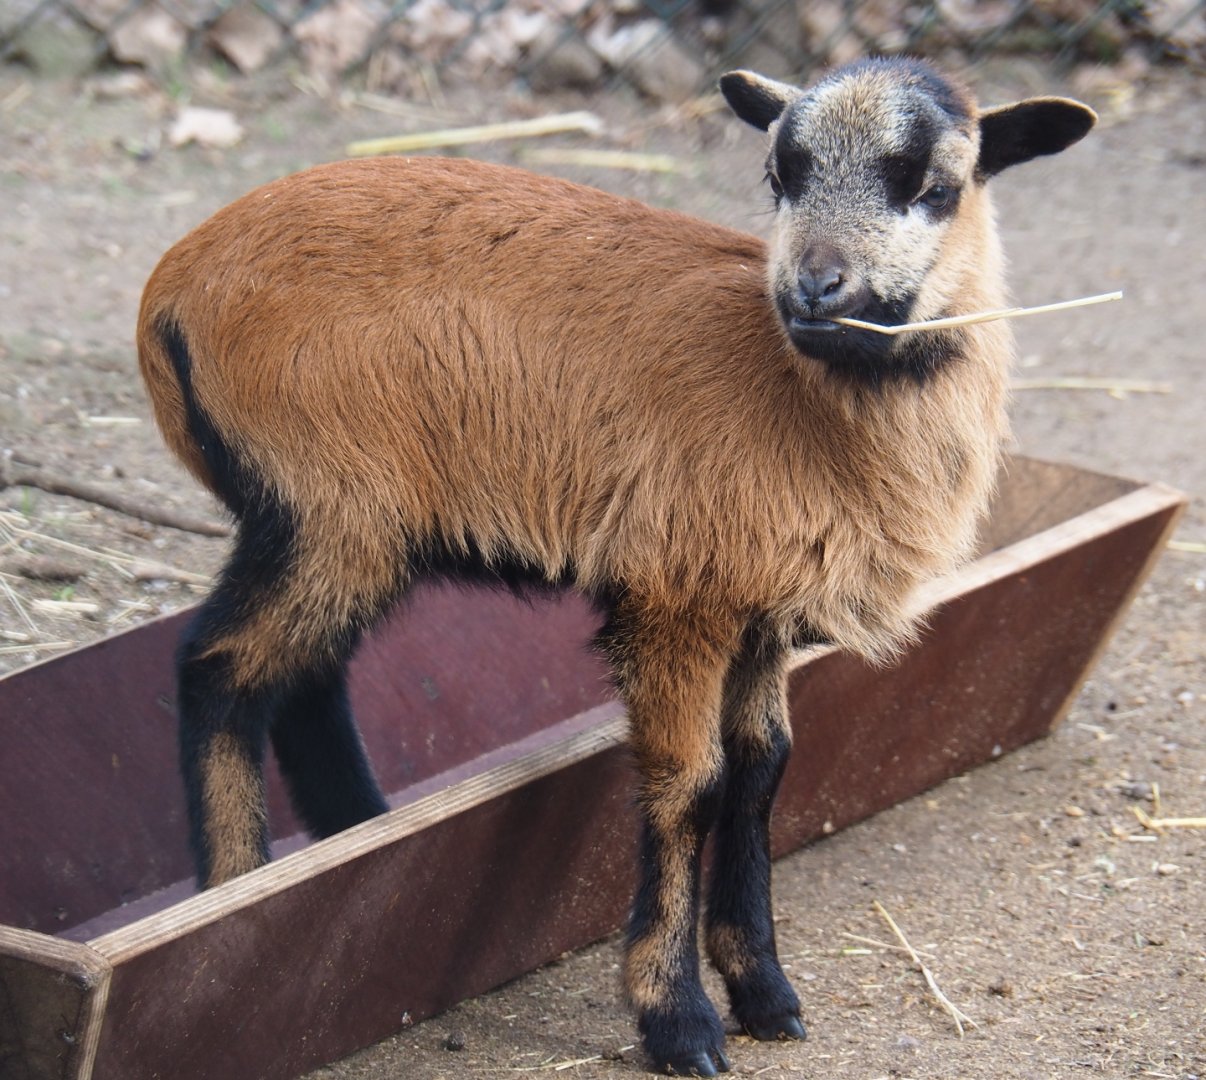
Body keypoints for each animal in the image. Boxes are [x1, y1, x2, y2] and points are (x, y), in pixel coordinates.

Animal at [136, 57, 1095, 1077]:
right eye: (780, 176)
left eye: (932, 187)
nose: (813, 289)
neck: (806, 401)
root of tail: (171, 288)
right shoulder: (676, 596)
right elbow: (692, 784)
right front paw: (677, 1018)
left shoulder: (758, 610)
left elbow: (762, 771)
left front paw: (765, 991)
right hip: (325, 504)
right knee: (220, 671)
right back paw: (230, 902)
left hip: (358, 530)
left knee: (306, 681)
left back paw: (358, 835)